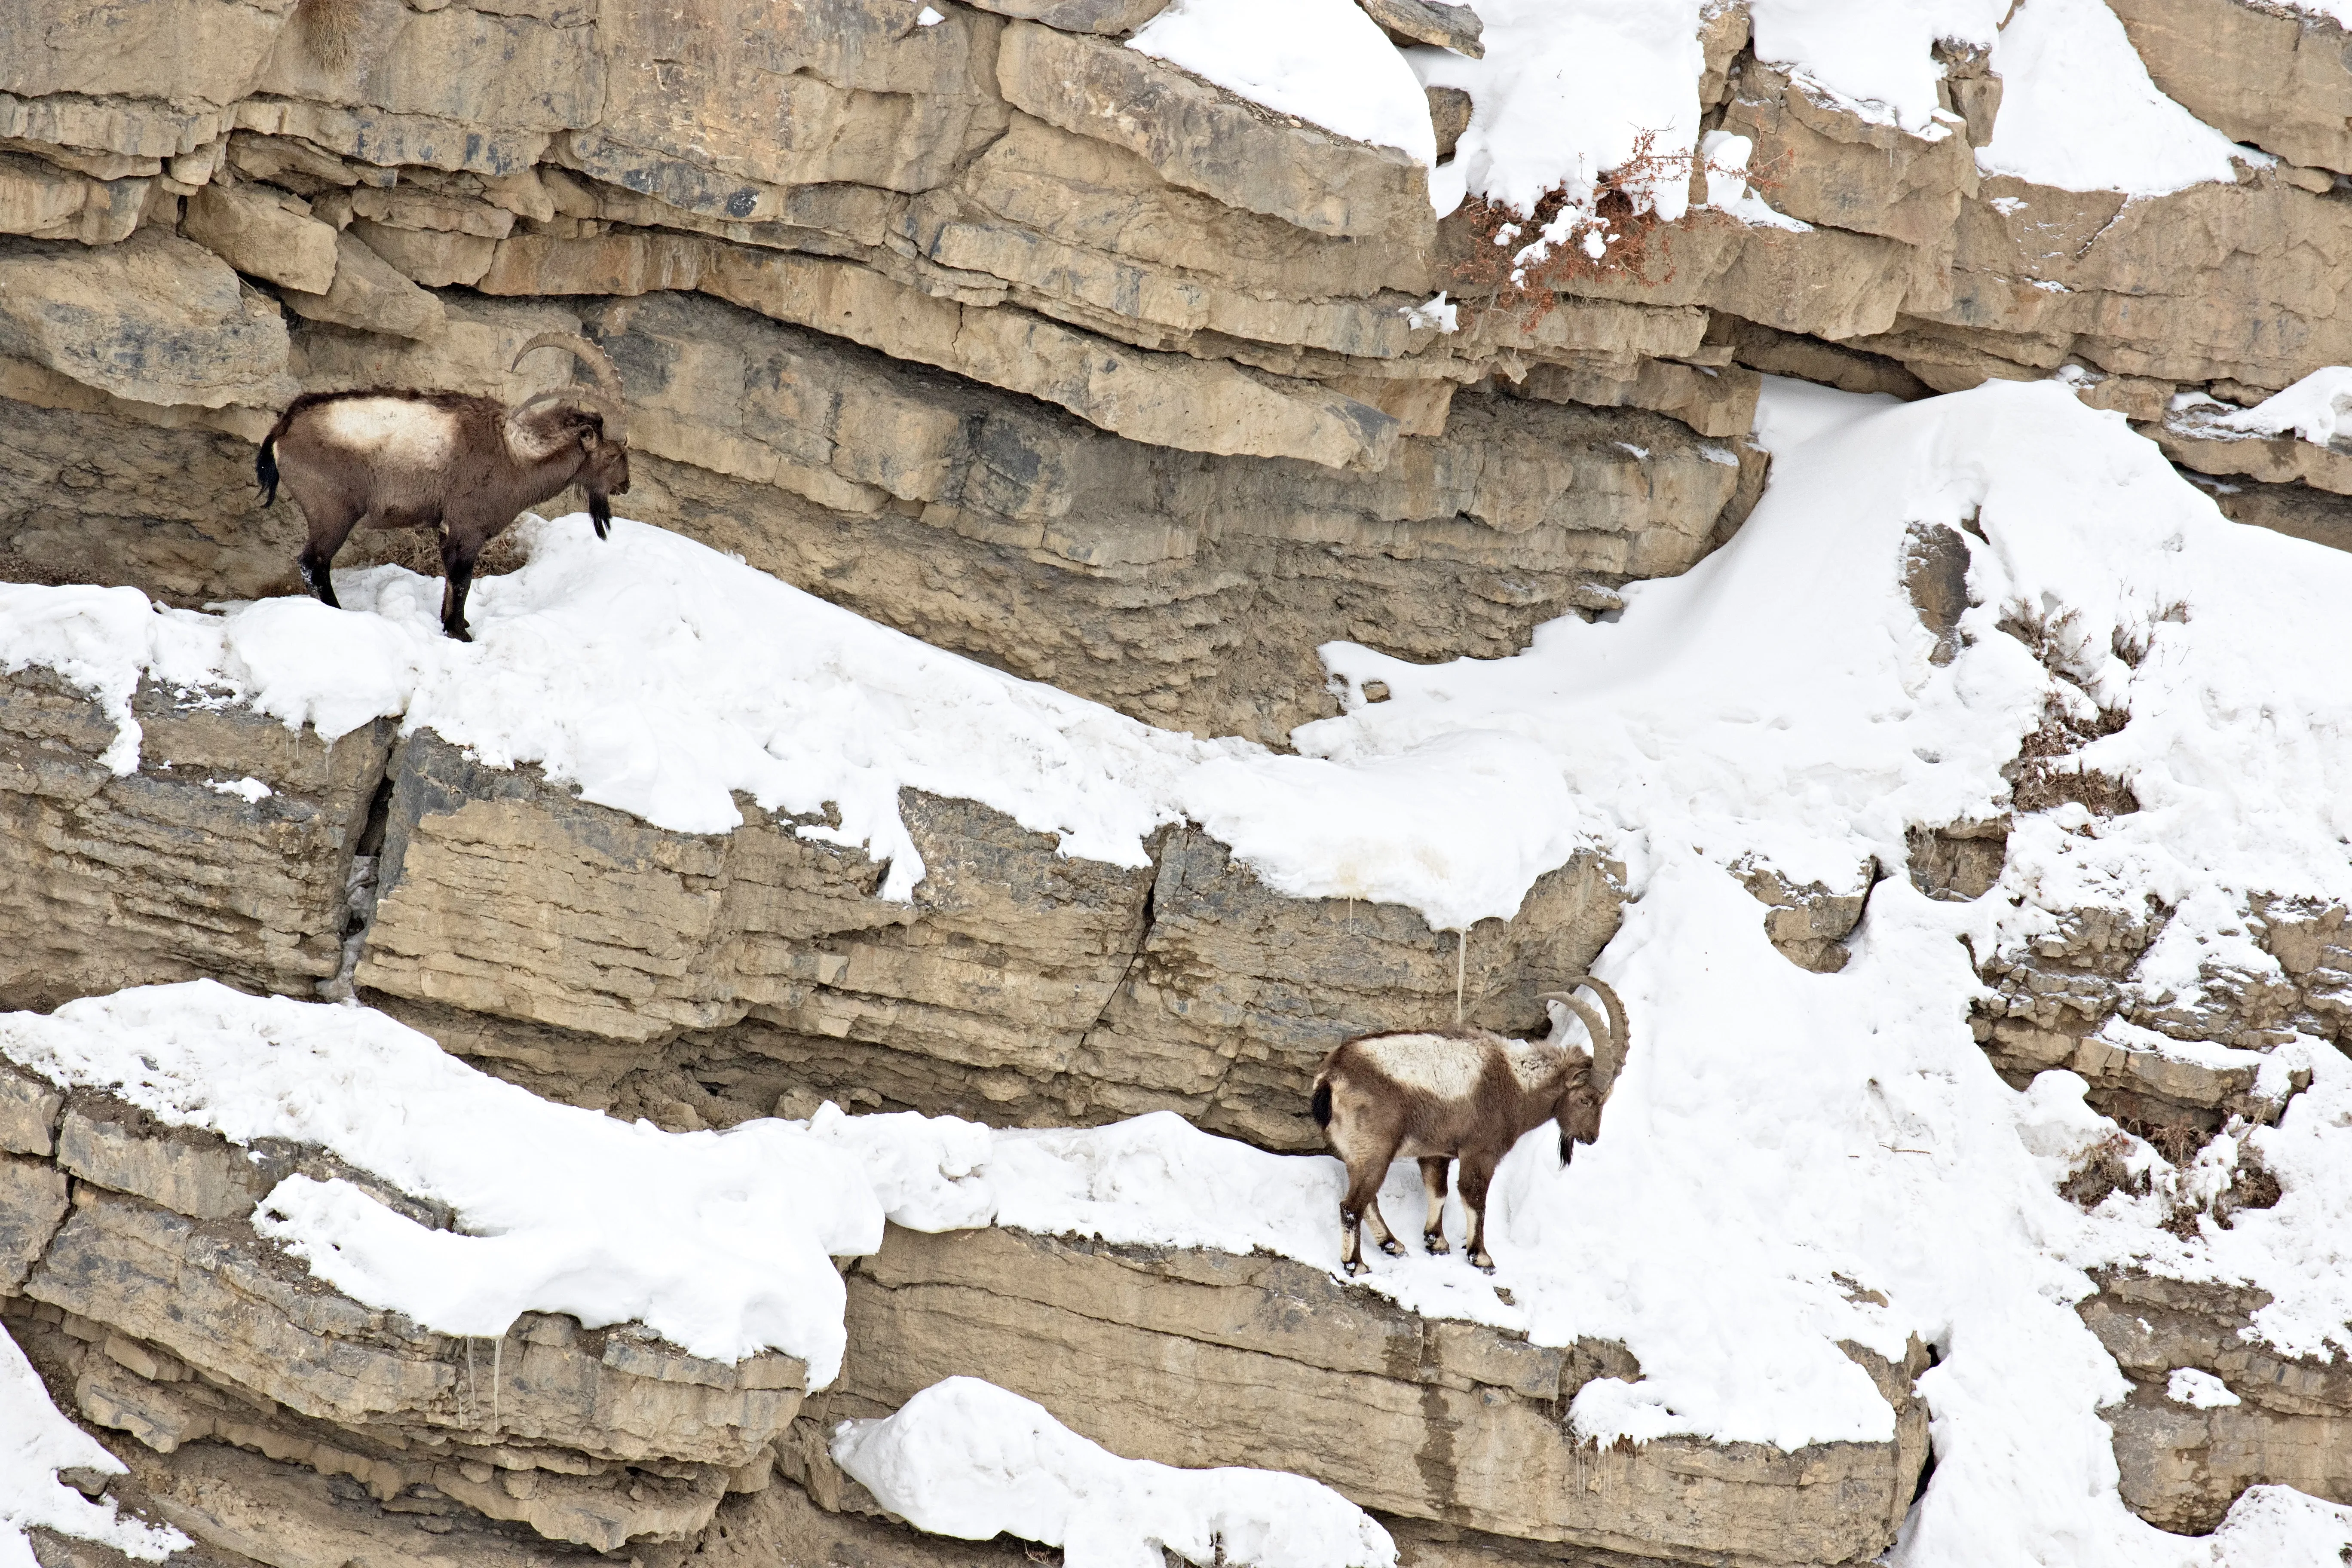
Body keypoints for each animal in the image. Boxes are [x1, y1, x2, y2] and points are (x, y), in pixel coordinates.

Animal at [255, 334, 631, 641]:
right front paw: (458, 633)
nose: (625, 485)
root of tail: (284, 429)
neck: (514, 452)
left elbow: (452, 580)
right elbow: (462, 578)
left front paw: (456, 624)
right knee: (313, 563)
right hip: (332, 512)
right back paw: (338, 613)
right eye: (615, 453)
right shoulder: (468, 527)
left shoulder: (448, 528)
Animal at [1311, 976, 1627, 1276]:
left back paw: (1392, 1244)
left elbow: (1438, 1192)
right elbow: (1474, 1198)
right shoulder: (1480, 1152)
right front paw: (1482, 1257)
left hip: (1359, 1154)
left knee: (1368, 1201)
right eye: (1587, 1099)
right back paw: (1356, 1264)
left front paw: (1436, 1241)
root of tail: (1332, 1077)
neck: (1515, 1084)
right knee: (1351, 1206)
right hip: (1375, 1150)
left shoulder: (1436, 1152)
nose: (1591, 1137)